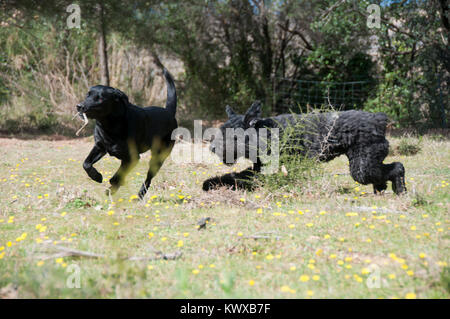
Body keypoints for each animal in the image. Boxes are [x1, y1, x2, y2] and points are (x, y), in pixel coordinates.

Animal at [76, 69, 177, 200]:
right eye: (87, 95)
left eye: (100, 99)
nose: (79, 106)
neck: (110, 126)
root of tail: (169, 112)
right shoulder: (100, 147)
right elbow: (86, 163)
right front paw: (97, 176)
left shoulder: (132, 158)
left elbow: (117, 177)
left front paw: (113, 186)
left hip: (158, 157)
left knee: (148, 179)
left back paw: (139, 195)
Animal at [202, 101, 406, 195]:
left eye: (232, 135)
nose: (211, 148)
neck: (264, 133)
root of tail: (379, 119)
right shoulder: (259, 168)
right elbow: (235, 175)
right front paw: (211, 183)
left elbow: (237, 178)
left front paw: (210, 185)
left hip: (362, 168)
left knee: (397, 167)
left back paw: (400, 190)